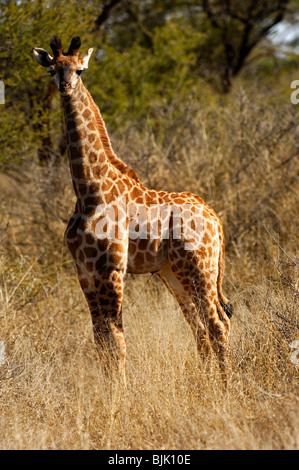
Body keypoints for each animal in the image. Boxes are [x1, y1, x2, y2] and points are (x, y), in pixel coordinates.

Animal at [33, 35, 234, 382]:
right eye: (53, 71)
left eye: (80, 70)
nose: (65, 86)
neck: (88, 189)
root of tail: (215, 218)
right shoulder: (84, 271)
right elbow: (101, 341)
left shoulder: (111, 269)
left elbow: (116, 342)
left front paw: (119, 396)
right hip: (173, 272)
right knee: (200, 327)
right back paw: (210, 383)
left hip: (199, 267)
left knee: (217, 323)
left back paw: (228, 387)